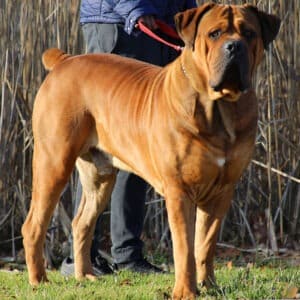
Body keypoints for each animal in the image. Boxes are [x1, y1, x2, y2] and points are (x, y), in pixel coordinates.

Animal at [21, 2, 282, 300]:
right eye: (214, 34)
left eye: (249, 33)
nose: (234, 46)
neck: (220, 108)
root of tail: (64, 60)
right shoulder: (179, 191)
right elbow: (184, 247)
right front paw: (186, 291)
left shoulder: (221, 191)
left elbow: (205, 244)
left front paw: (209, 287)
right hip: (53, 162)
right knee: (34, 224)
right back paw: (39, 280)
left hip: (100, 176)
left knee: (81, 222)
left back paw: (85, 274)